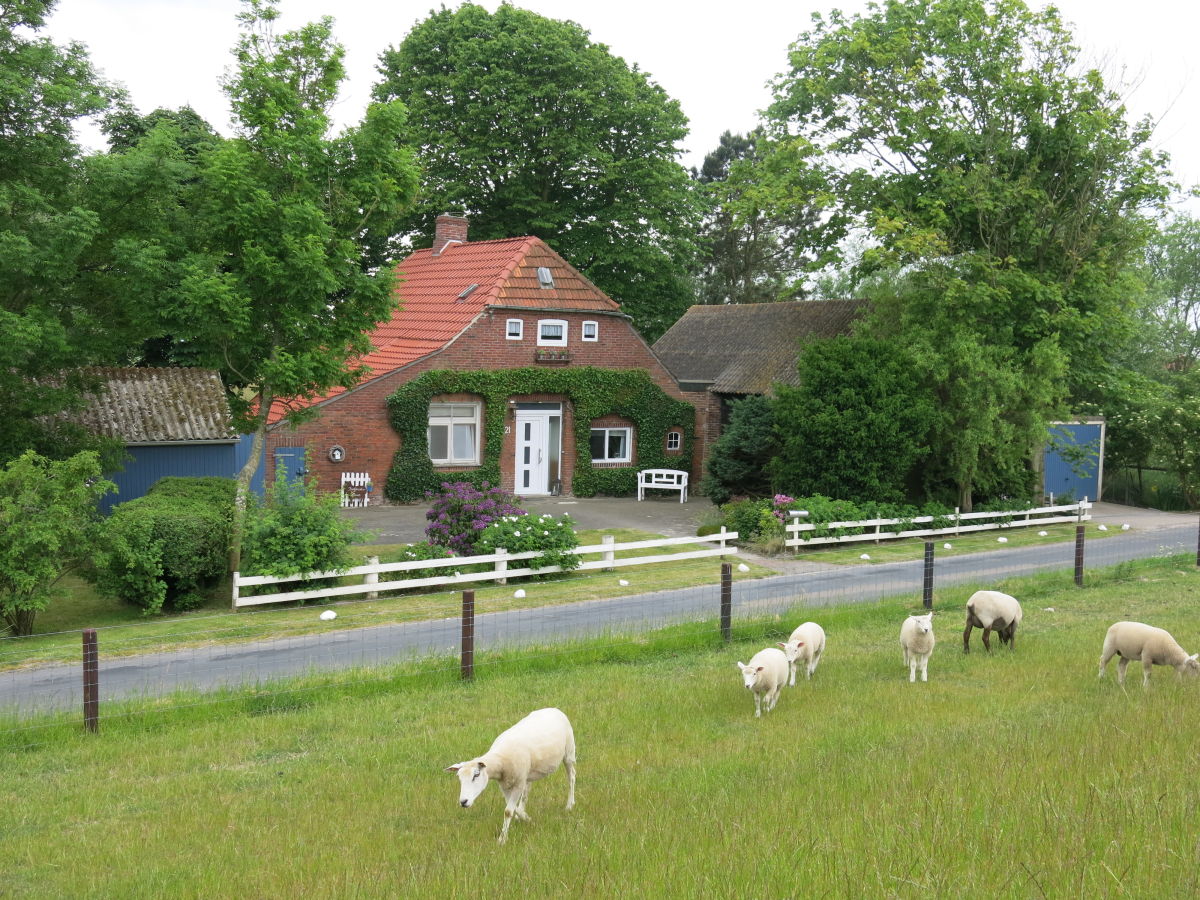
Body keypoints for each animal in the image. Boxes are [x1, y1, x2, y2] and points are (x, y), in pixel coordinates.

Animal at [446, 710, 576, 844]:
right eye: (459, 778)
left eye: (476, 775)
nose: (463, 802)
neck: (500, 760)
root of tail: (553, 709)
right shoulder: (505, 785)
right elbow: (514, 809)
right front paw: (525, 818)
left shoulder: (518, 783)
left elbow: (508, 811)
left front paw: (502, 839)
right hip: (528, 772)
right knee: (526, 792)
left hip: (569, 752)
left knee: (571, 776)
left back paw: (569, 805)